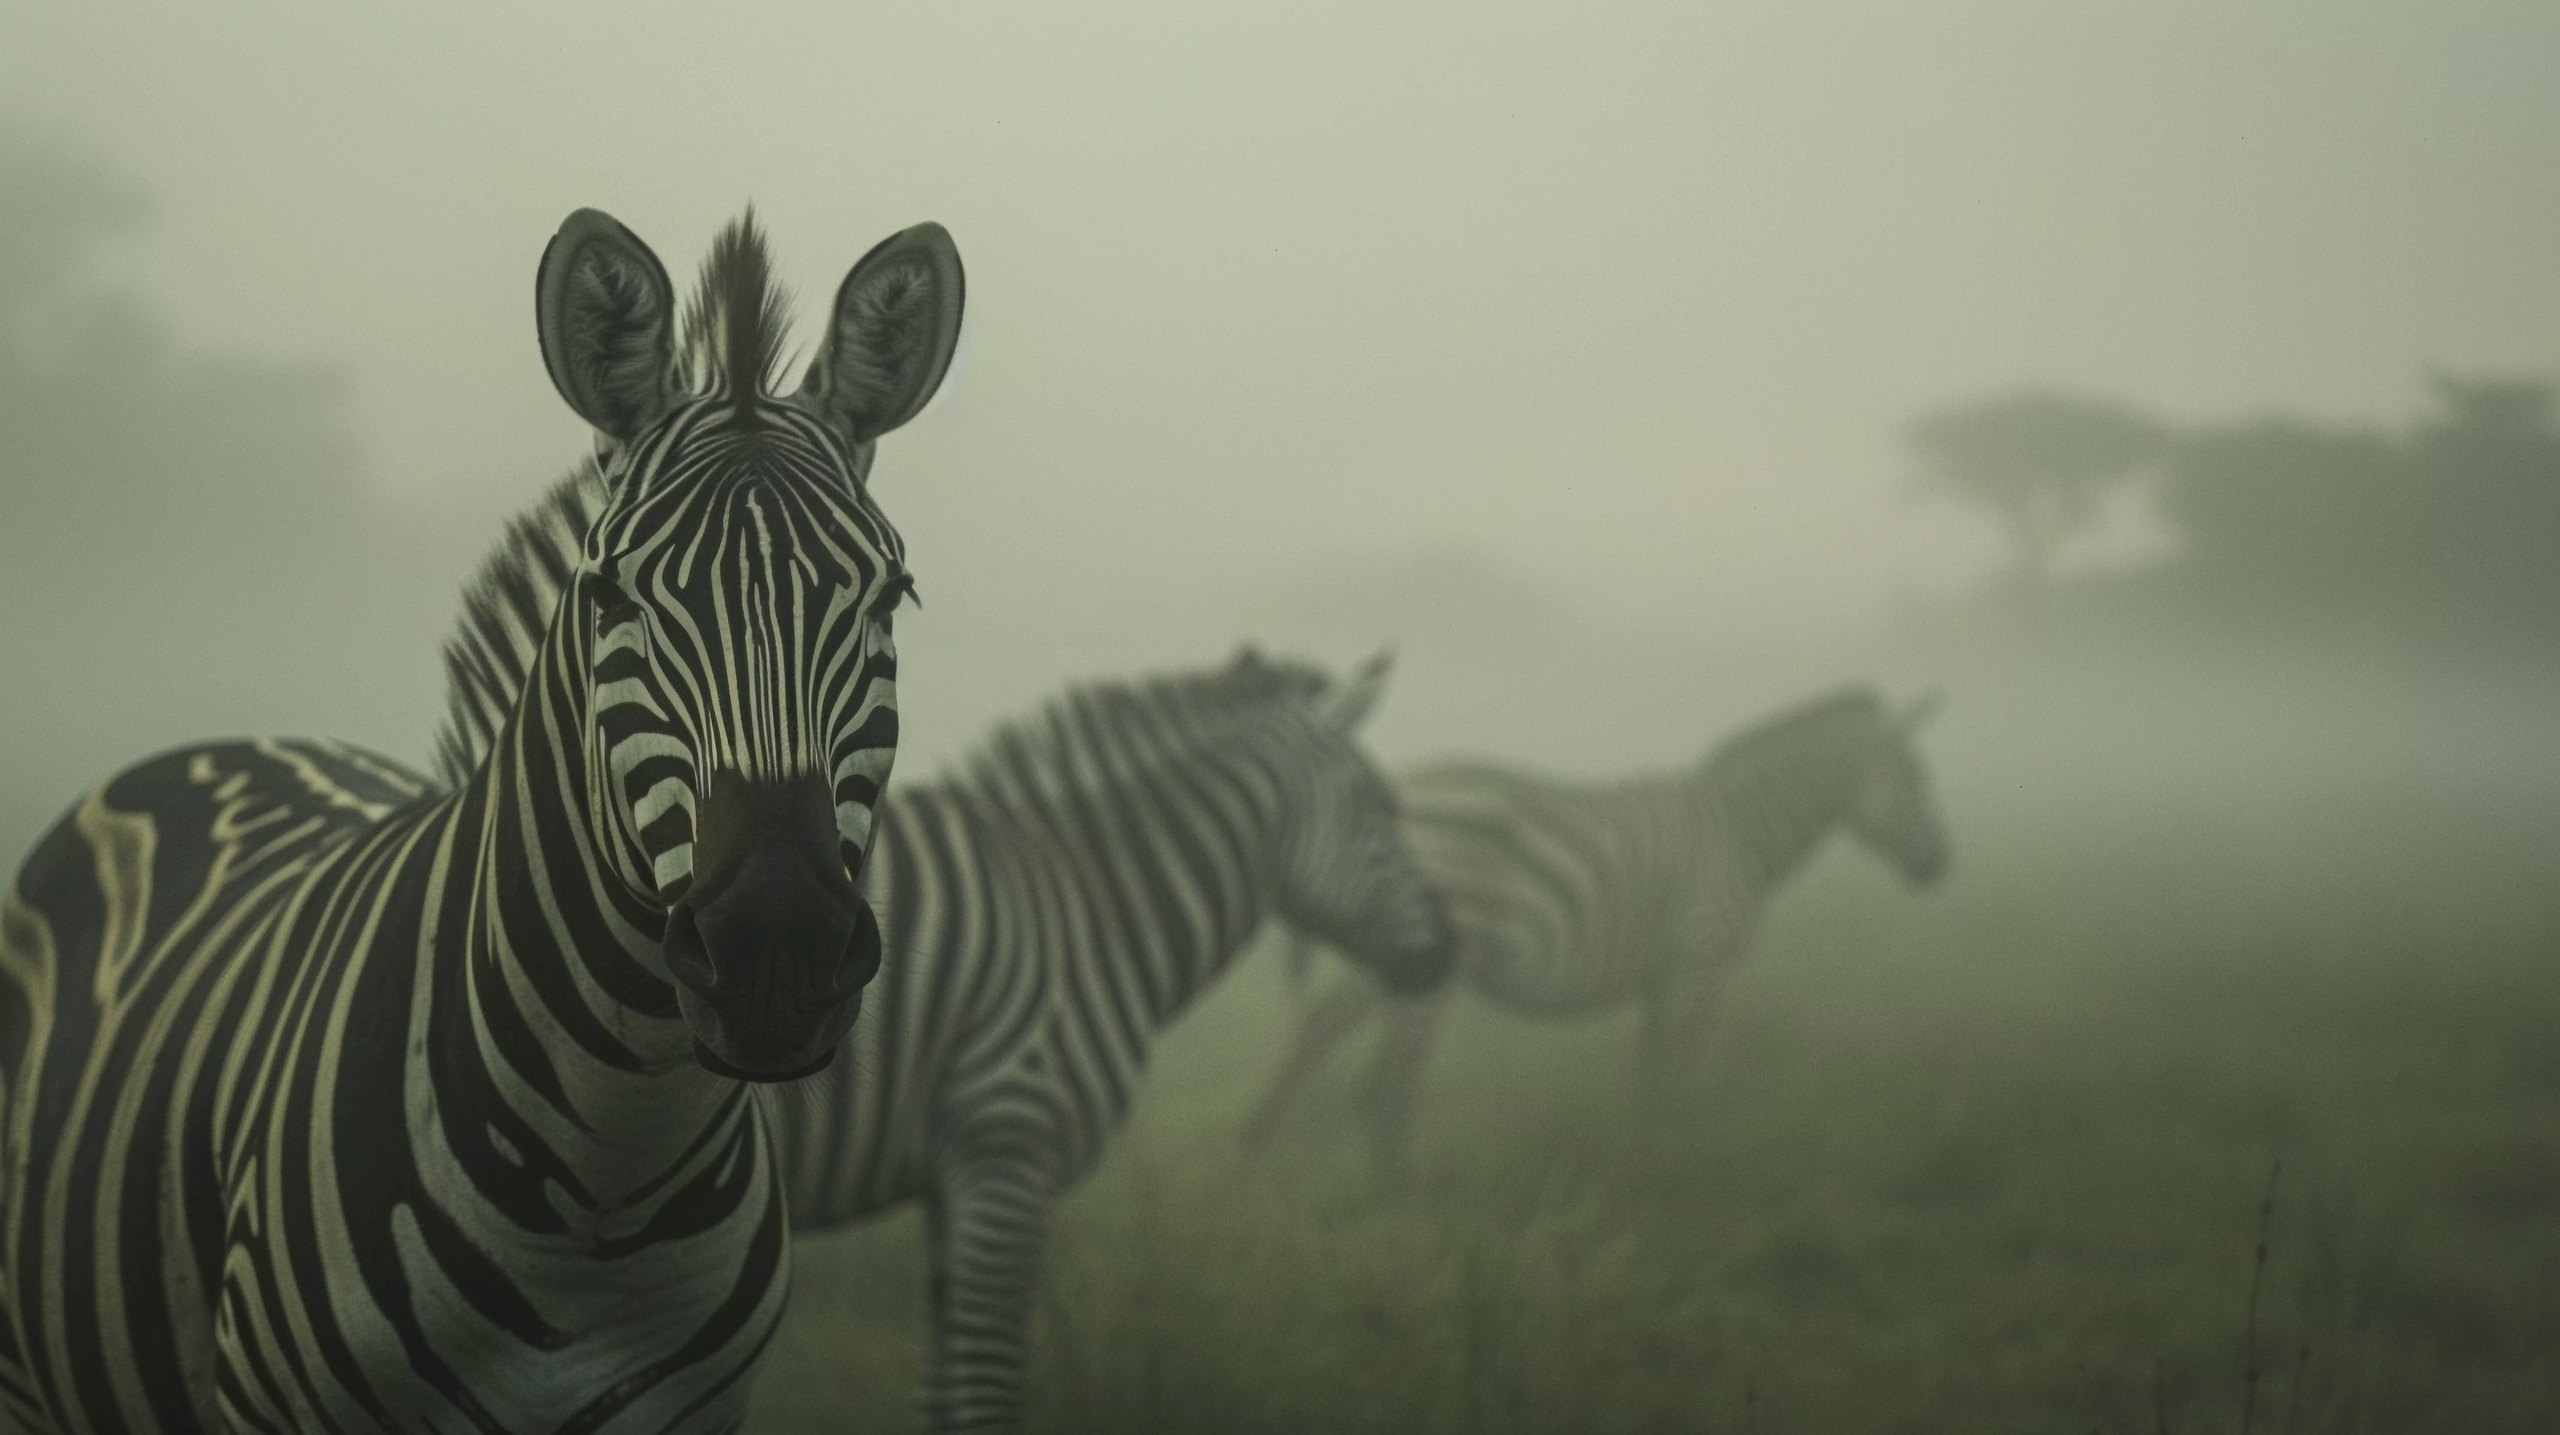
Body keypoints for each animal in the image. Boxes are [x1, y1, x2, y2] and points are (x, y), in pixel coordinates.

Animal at [1239, 686, 1950, 1192]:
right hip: (1431, 959)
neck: (1740, 830)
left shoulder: (1665, 974)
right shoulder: (1700, 961)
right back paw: (1402, 1201)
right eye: (1916, 776)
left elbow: (1653, 1072)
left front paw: (1648, 1164)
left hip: (1382, 954)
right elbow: (1683, 1071)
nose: (1941, 866)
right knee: (1385, 1082)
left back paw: (1260, 1155)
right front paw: (1686, 1165)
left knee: (1315, 1035)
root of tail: (1391, 793)